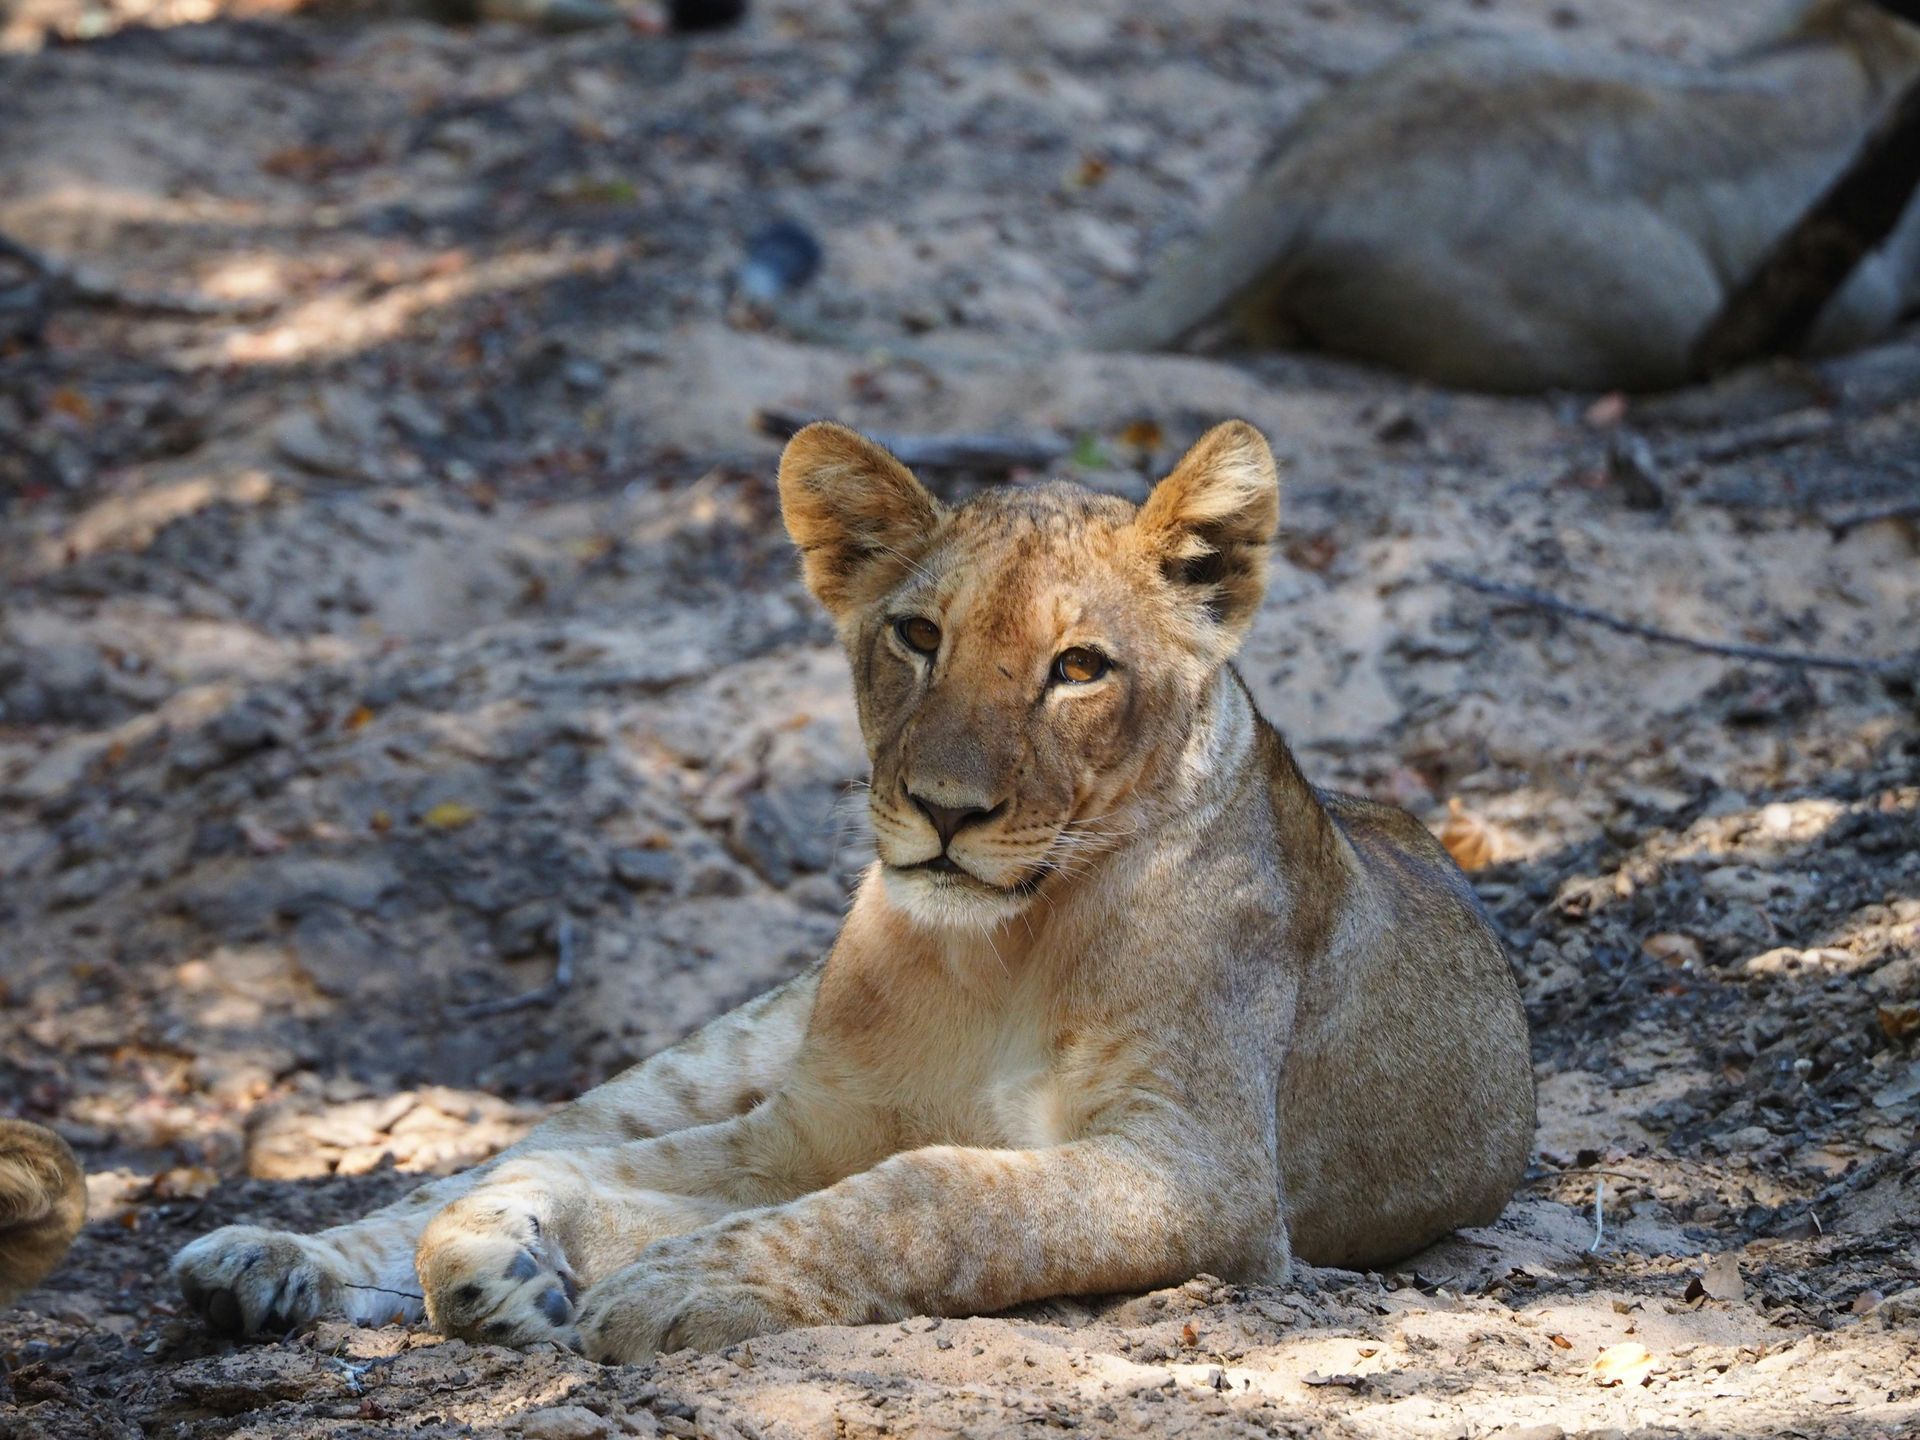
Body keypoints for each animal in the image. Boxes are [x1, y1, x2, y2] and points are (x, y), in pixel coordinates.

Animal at [171, 421, 1534, 1359]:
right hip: (719, 1049)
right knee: (512, 1148)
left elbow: (930, 1190)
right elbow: (605, 1179)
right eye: (917, 637)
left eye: (1078, 668)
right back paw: (260, 1261)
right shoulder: (800, 1130)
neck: (995, 953)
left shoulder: (1200, 1169)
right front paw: (512, 1251)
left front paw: (663, 1284)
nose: (945, 809)